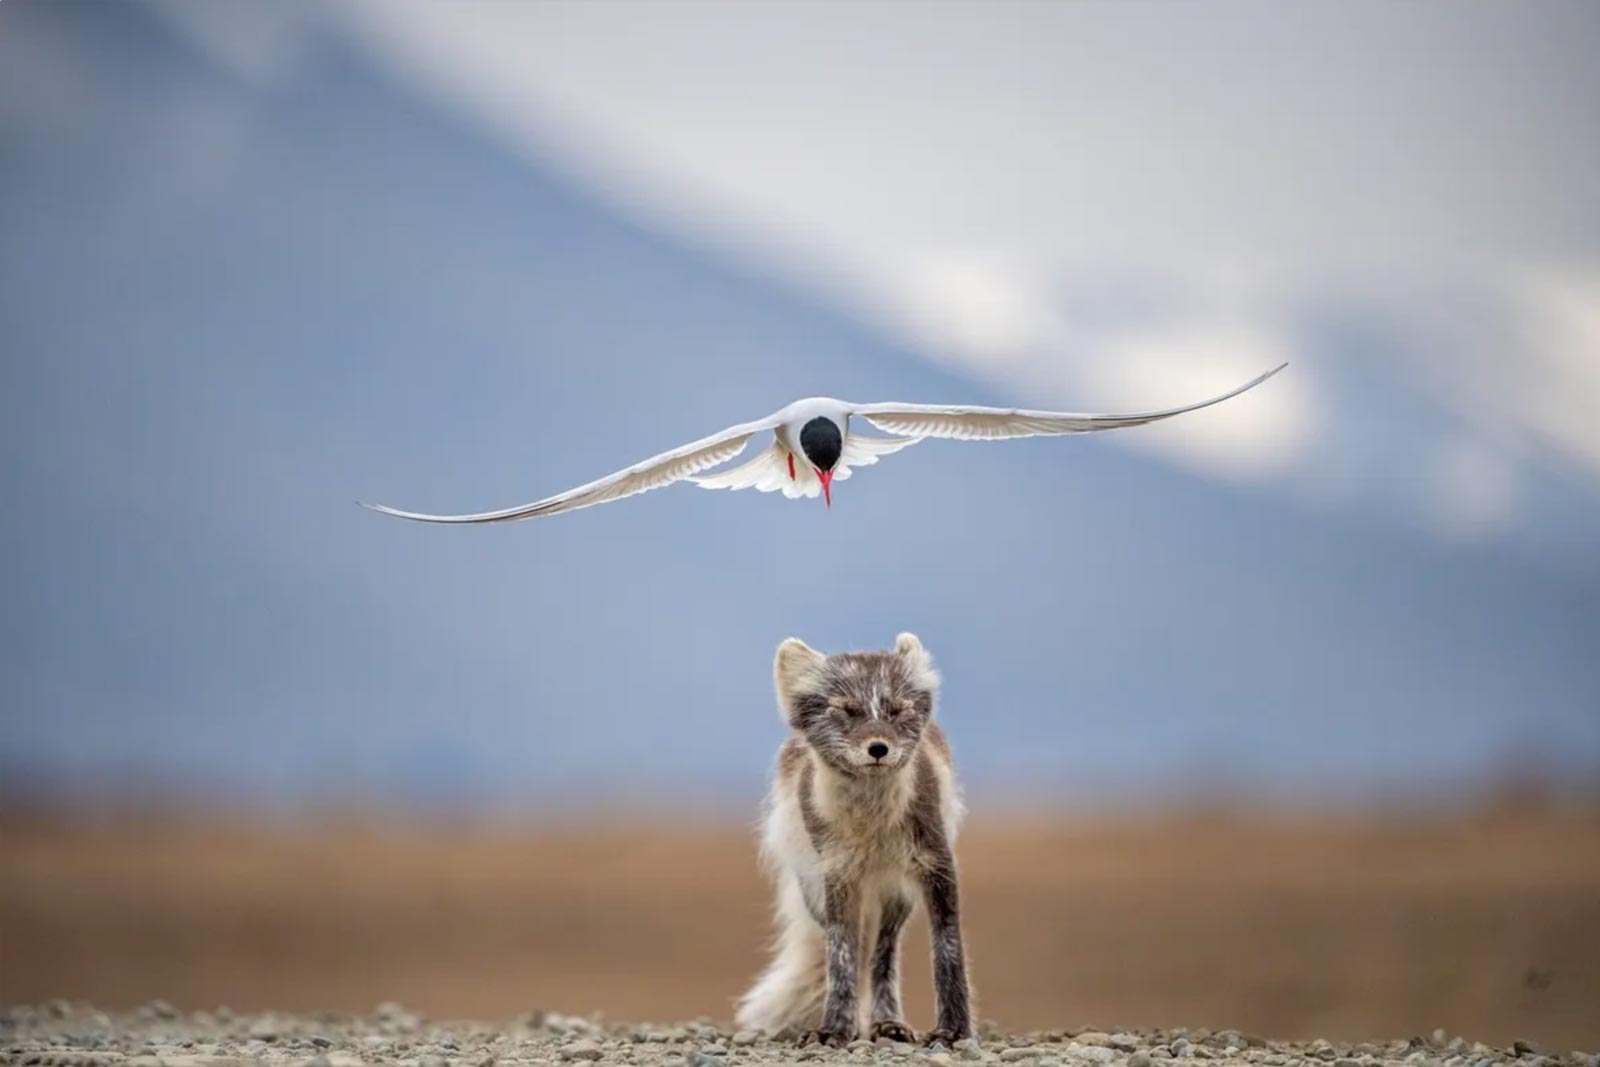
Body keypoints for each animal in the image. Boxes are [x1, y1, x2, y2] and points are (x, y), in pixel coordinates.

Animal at [736, 632, 974, 1048]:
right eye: (846, 710)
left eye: (896, 710)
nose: (878, 748)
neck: (872, 824)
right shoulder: (838, 874)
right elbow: (842, 958)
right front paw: (835, 1028)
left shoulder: (936, 864)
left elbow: (948, 953)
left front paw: (953, 1031)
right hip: (816, 891)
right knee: (854, 950)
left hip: (896, 897)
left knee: (882, 955)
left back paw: (887, 1023)